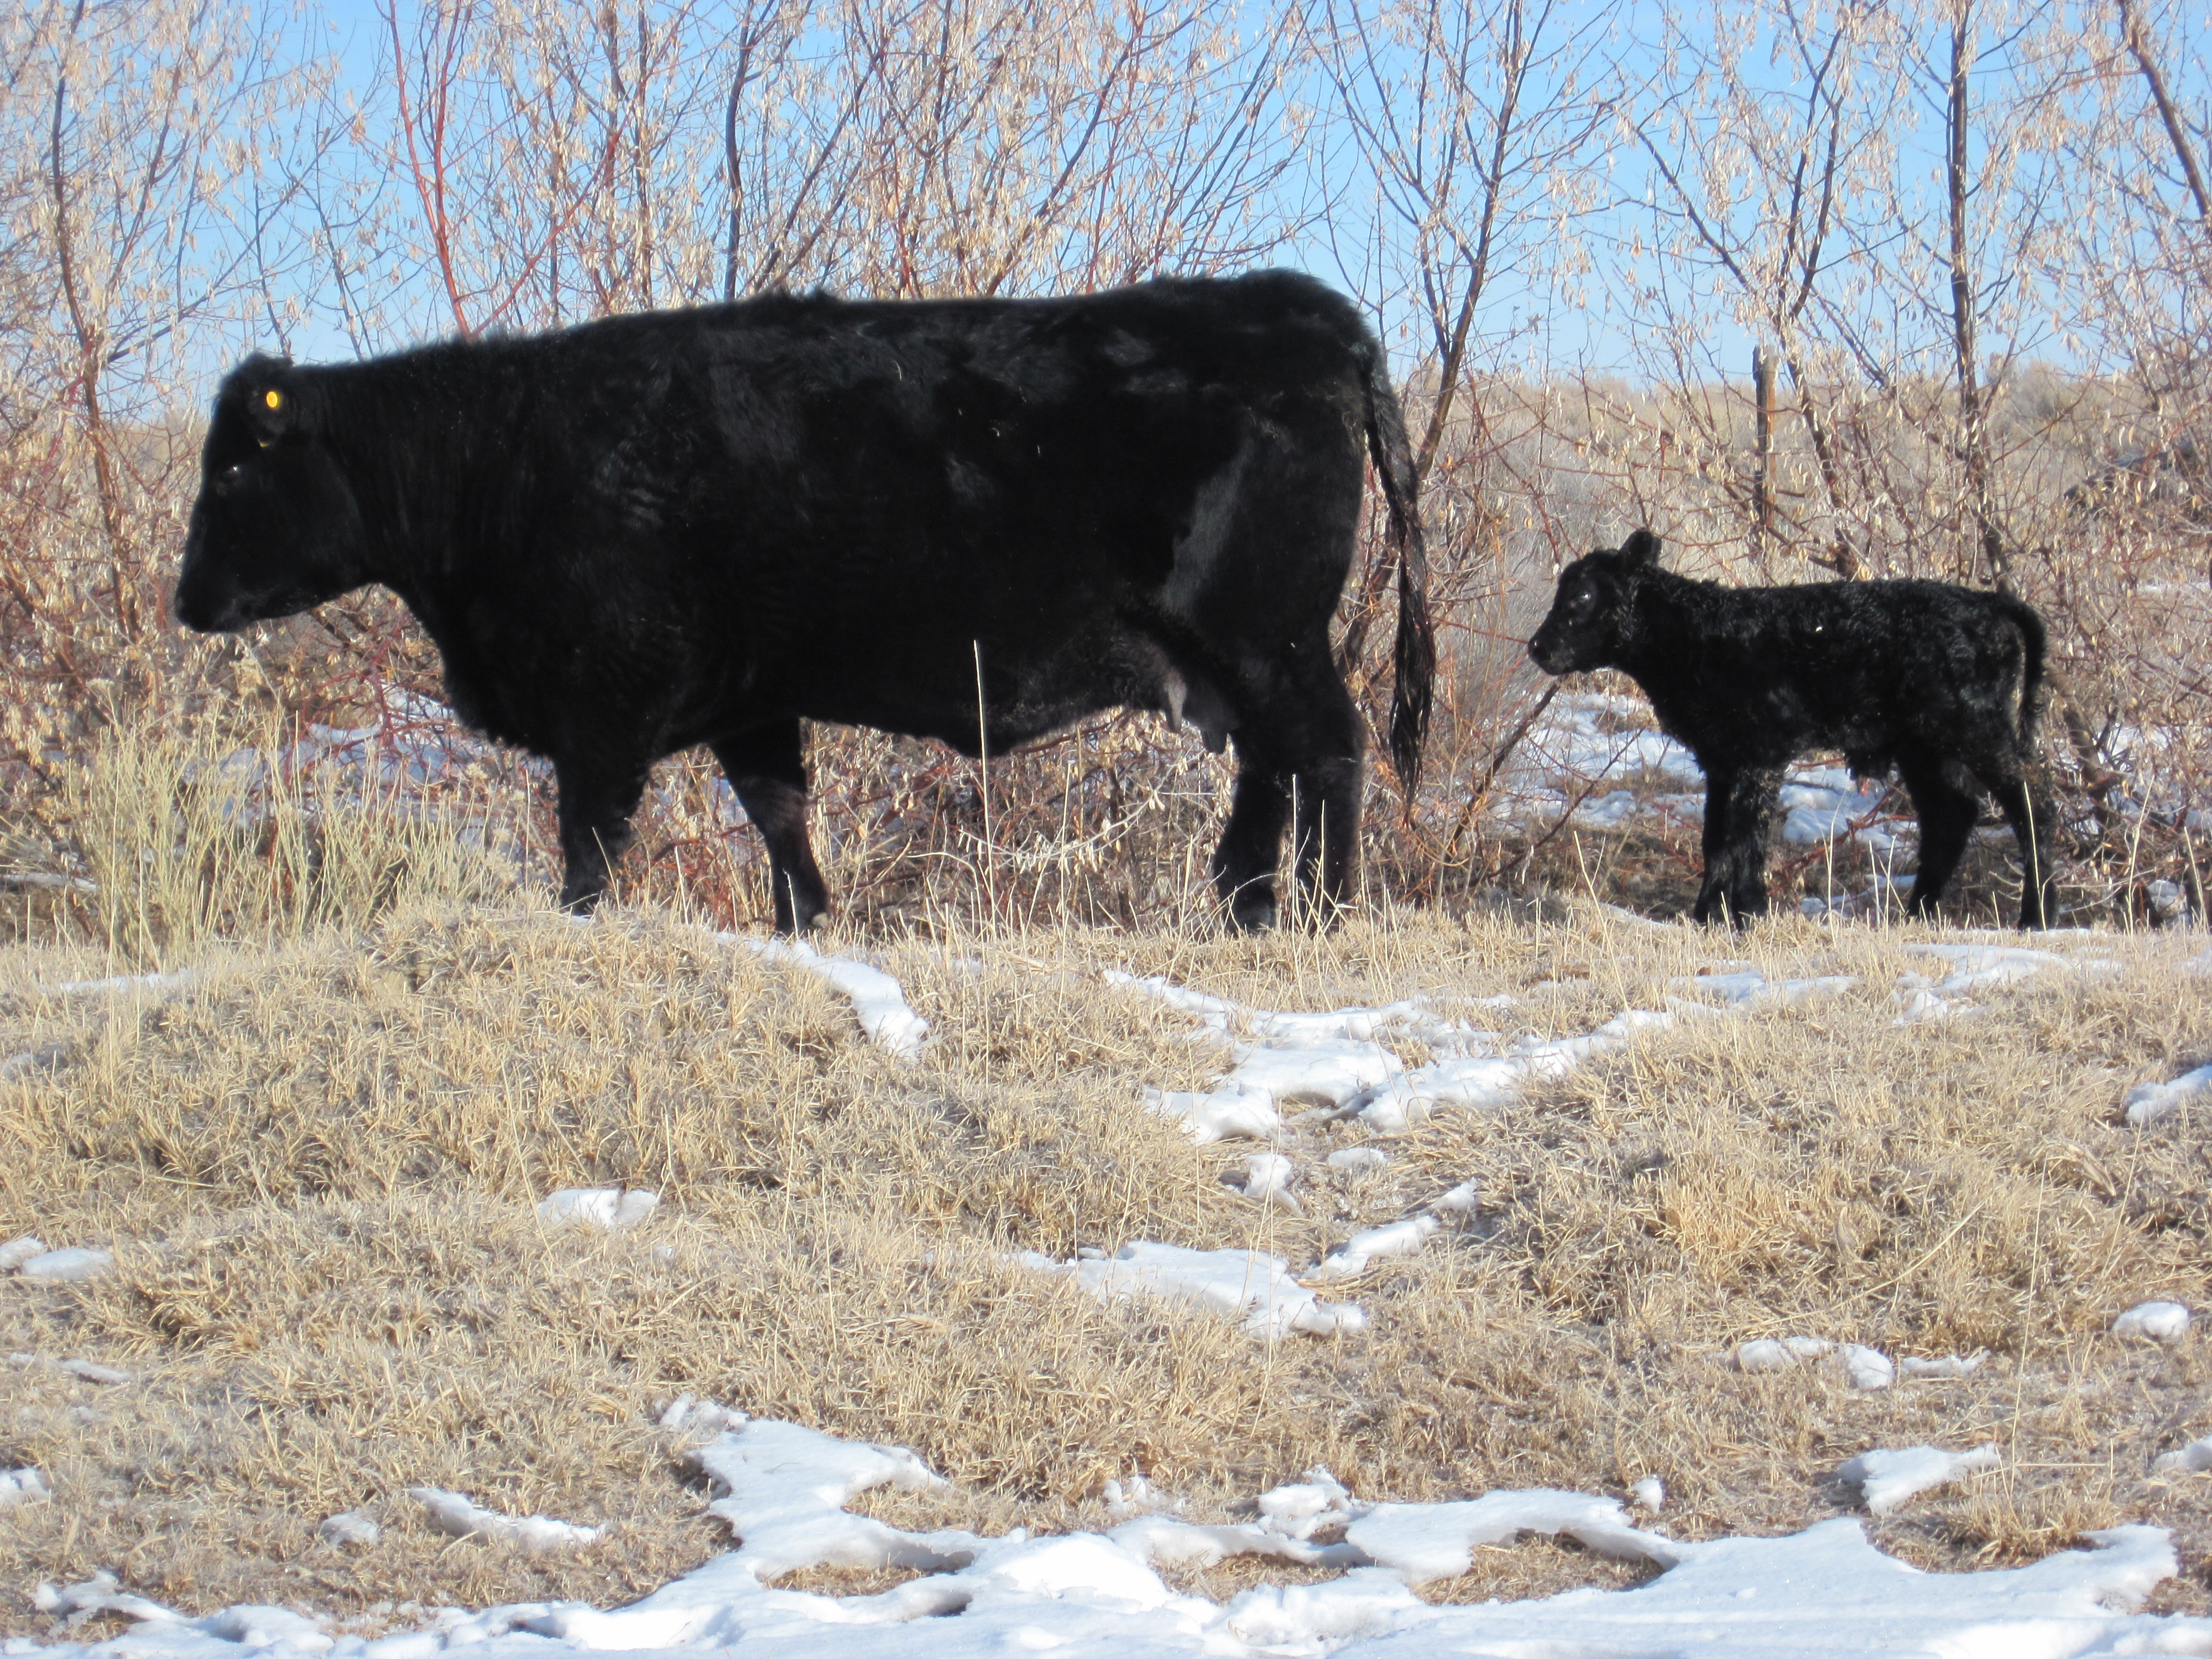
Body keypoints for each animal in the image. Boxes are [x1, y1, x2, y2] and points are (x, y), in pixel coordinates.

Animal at [173, 271, 1434, 933]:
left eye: (230, 470)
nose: (186, 600)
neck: (505, 457)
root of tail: (1296, 304)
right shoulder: (747, 698)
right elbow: (779, 813)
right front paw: (808, 923)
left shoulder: (606, 704)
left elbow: (590, 842)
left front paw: (584, 925)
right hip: (1231, 653)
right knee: (1268, 765)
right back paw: (1248, 906)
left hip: (1266, 634)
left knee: (1328, 749)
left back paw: (1326, 906)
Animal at [1527, 529, 2055, 928]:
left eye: (1583, 596)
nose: (1538, 647)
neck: (1696, 634)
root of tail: (1986, 603)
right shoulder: (1720, 760)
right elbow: (1716, 837)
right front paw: (1709, 914)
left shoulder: (1759, 756)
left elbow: (1746, 835)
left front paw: (1748, 912)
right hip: (1925, 747)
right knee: (1953, 815)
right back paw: (1917, 914)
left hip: (1979, 730)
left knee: (2031, 805)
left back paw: (2037, 915)